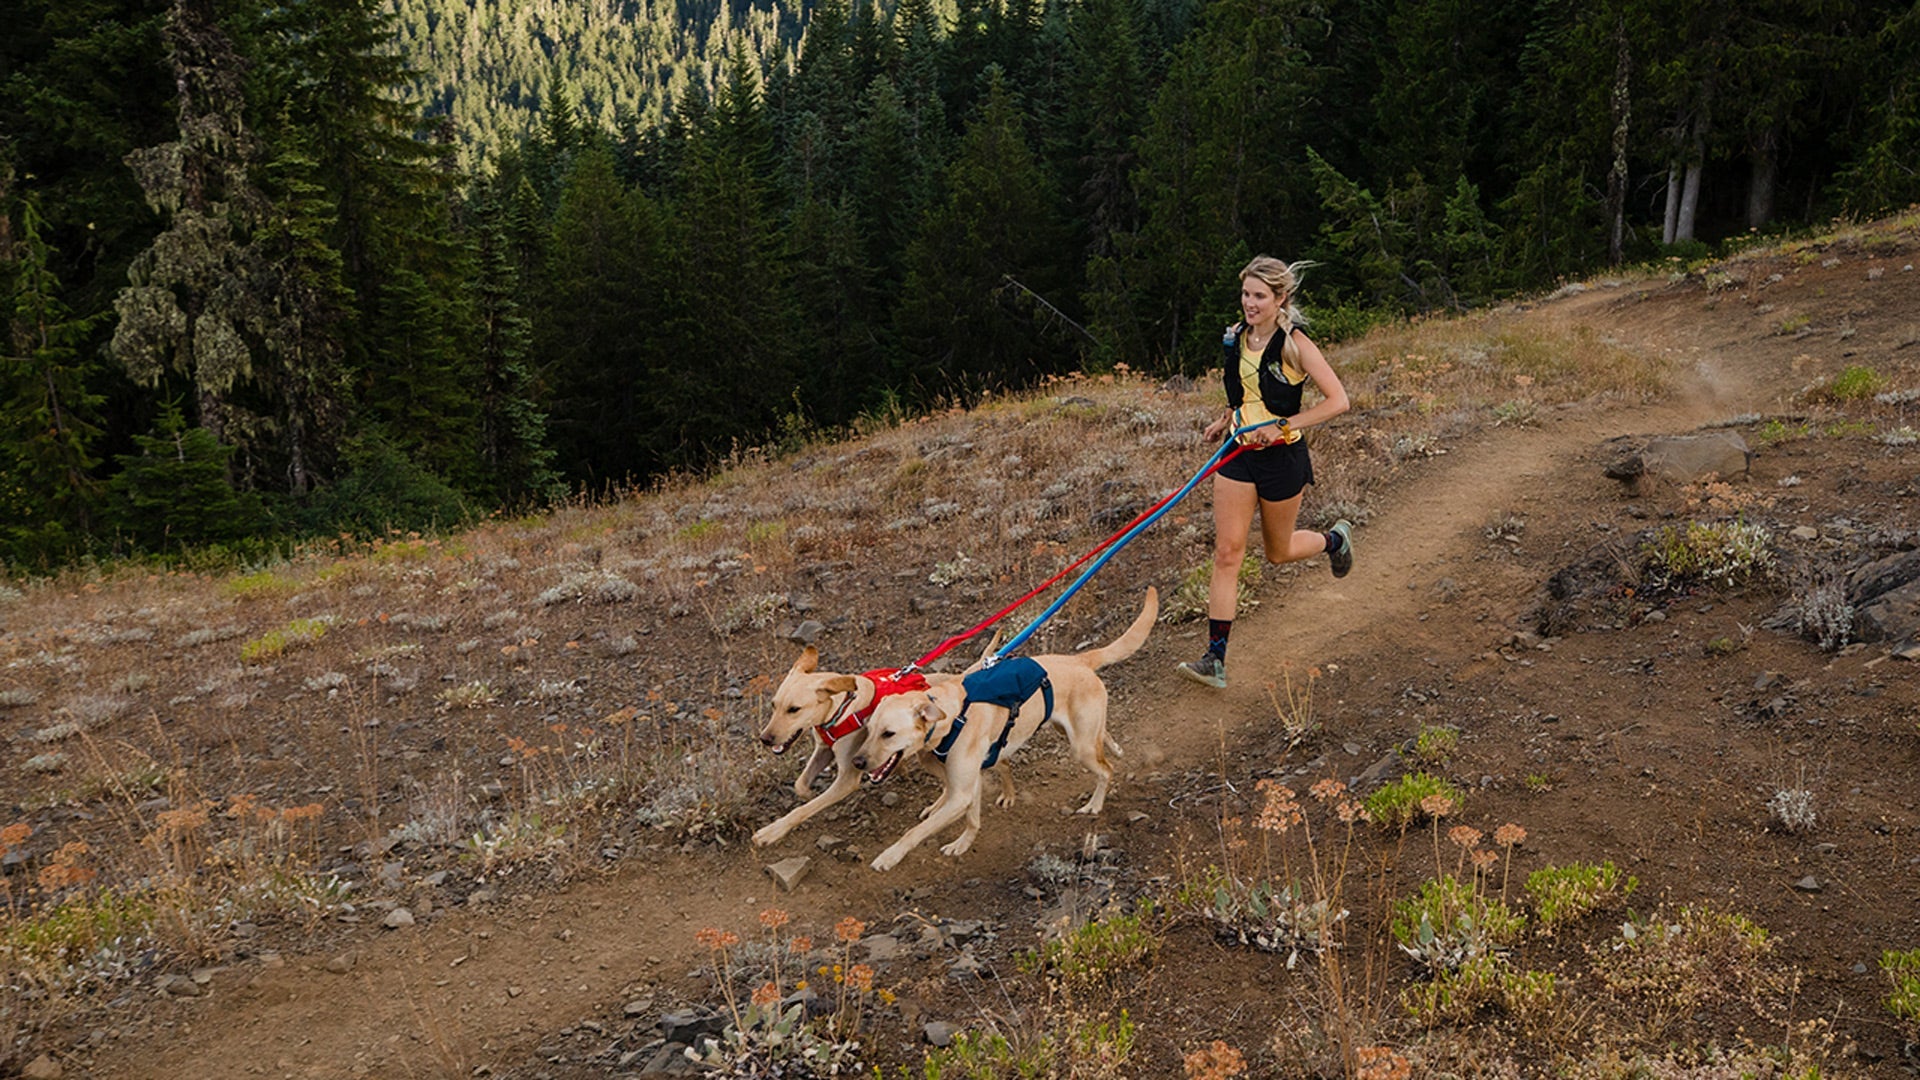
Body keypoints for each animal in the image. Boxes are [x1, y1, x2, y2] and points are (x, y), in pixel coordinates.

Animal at [856, 584, 1152, 868]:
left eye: (888, 734)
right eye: (868, 731)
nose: (857, 762)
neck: (951, 717)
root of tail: (1080, 660)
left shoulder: (961, 792)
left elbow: (915, 831)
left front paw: (889, 857)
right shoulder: (967, 784)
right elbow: (972, 818)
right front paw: (962, 844)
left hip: (1081, 748)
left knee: (1106, 770)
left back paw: (1094, 805)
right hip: (1071, 731)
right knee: (1102, 738)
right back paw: (1113, 748)